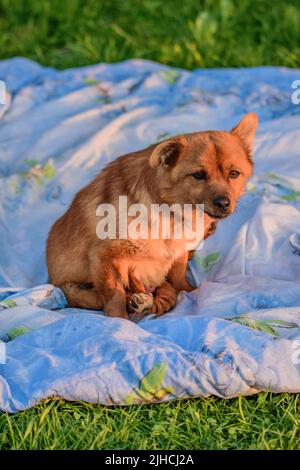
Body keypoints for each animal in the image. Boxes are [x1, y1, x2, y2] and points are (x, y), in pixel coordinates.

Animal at [46, 113, 258, 320]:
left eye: (234, 173)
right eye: (198, 175)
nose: (223, 203)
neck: (172, 211)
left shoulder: (179, 253)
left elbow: (178, 277)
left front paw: (189, 292)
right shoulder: (104, 257)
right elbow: (115, 297)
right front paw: (119, 322)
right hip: (71, 290)